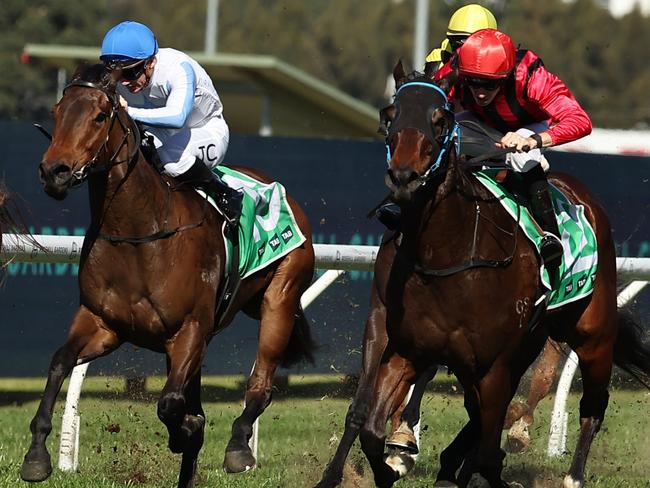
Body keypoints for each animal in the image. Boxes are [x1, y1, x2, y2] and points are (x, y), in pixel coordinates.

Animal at [19, 65, 314, 488]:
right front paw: (37, 455)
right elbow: (60, 362)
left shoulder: (188, 329)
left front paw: (187, 431)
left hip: (280, 299)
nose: (53, 172)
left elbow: (171, 404)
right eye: (57, 112)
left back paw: (239, 447)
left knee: (260, 385)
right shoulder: (103, 323)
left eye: (100, 116)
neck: (140, 233)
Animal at [316, 65, 648, 488]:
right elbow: (370, 425)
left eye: (441, 120)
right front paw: (392, 462)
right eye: (389, 115)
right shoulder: (403, 340)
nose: (404, 176)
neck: (447, 253)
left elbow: (490, 451)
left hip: (593, 336)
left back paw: (571, 476)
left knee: (593, 404)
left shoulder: (490, 362)